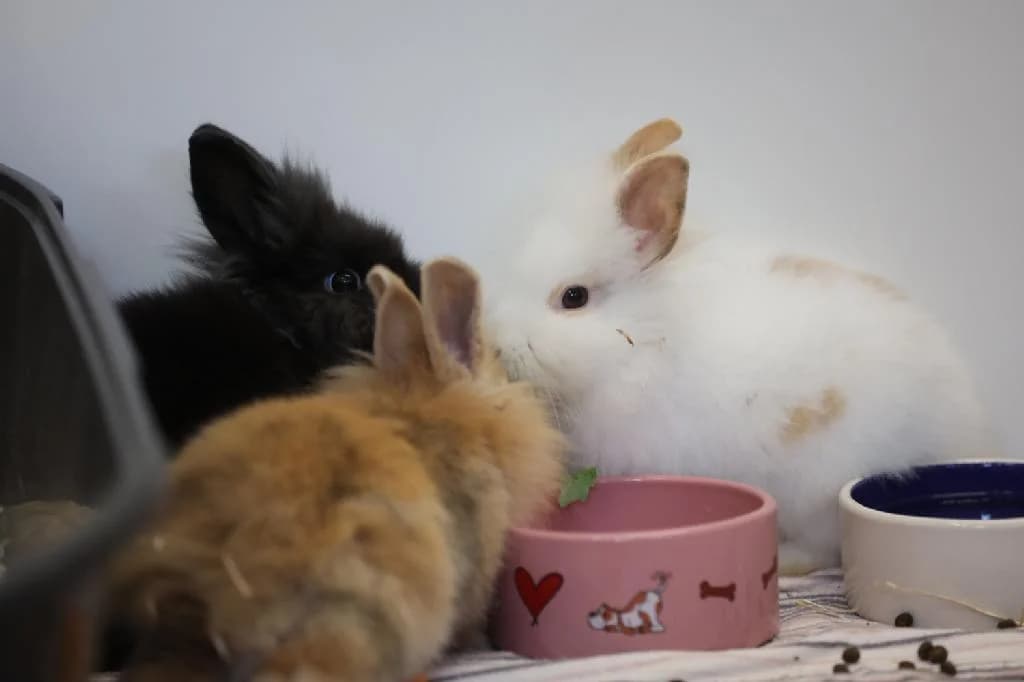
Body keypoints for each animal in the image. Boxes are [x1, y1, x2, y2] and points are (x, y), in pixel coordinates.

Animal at [483, 118, 999, 576]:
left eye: (573, 297)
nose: (497, 344)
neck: (644, 339)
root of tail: (959, 425)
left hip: (817, 485)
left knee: (823, 545)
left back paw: (788, 561)